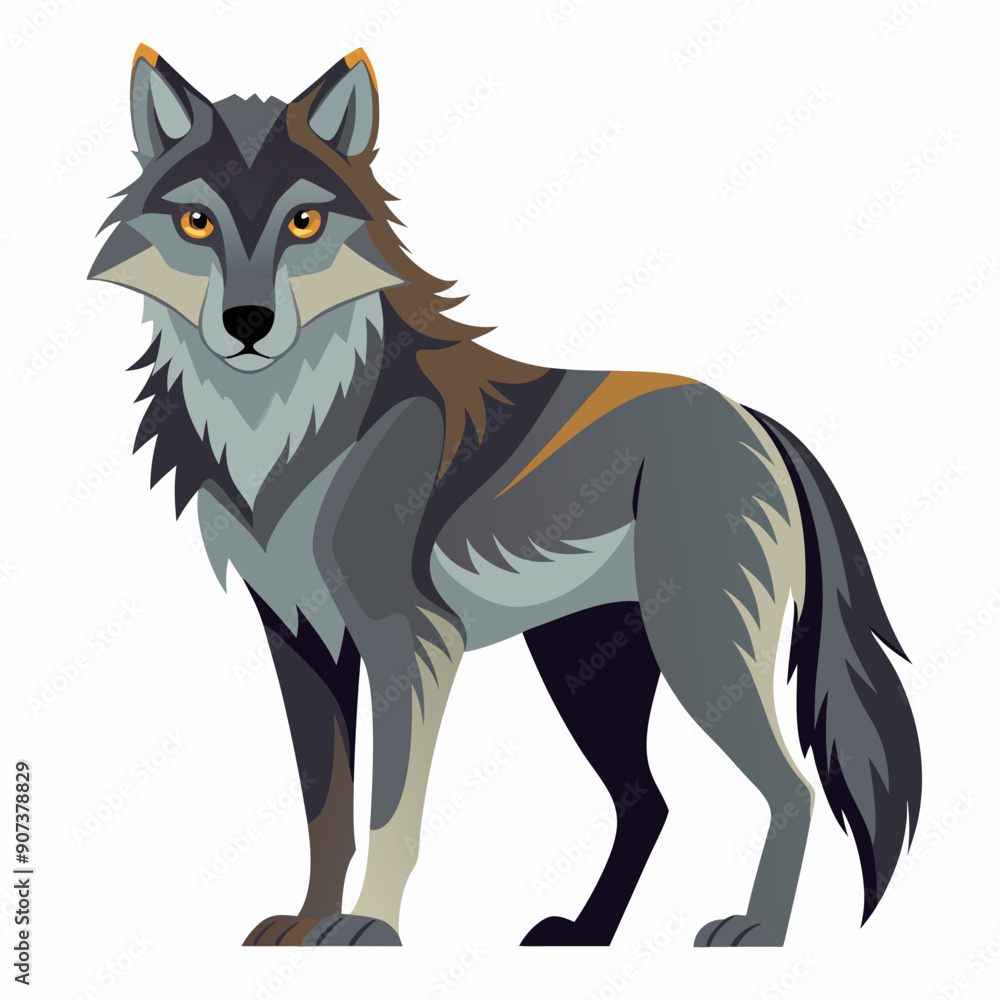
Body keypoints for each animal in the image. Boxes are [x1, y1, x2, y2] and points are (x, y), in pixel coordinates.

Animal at [90, 44, 921, 948]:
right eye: (197, 224)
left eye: (303, 223)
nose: (249, 322)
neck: (281, 427)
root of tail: (752, 417)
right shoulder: (297, 638)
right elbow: (325, 809)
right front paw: (308, 925)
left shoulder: (408, 638)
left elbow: (389, 810)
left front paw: (368, 927)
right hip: (585, 670)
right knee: (649, 803)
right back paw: (587, 934)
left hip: (698, 655)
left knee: (790, 789)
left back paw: (757, 931)